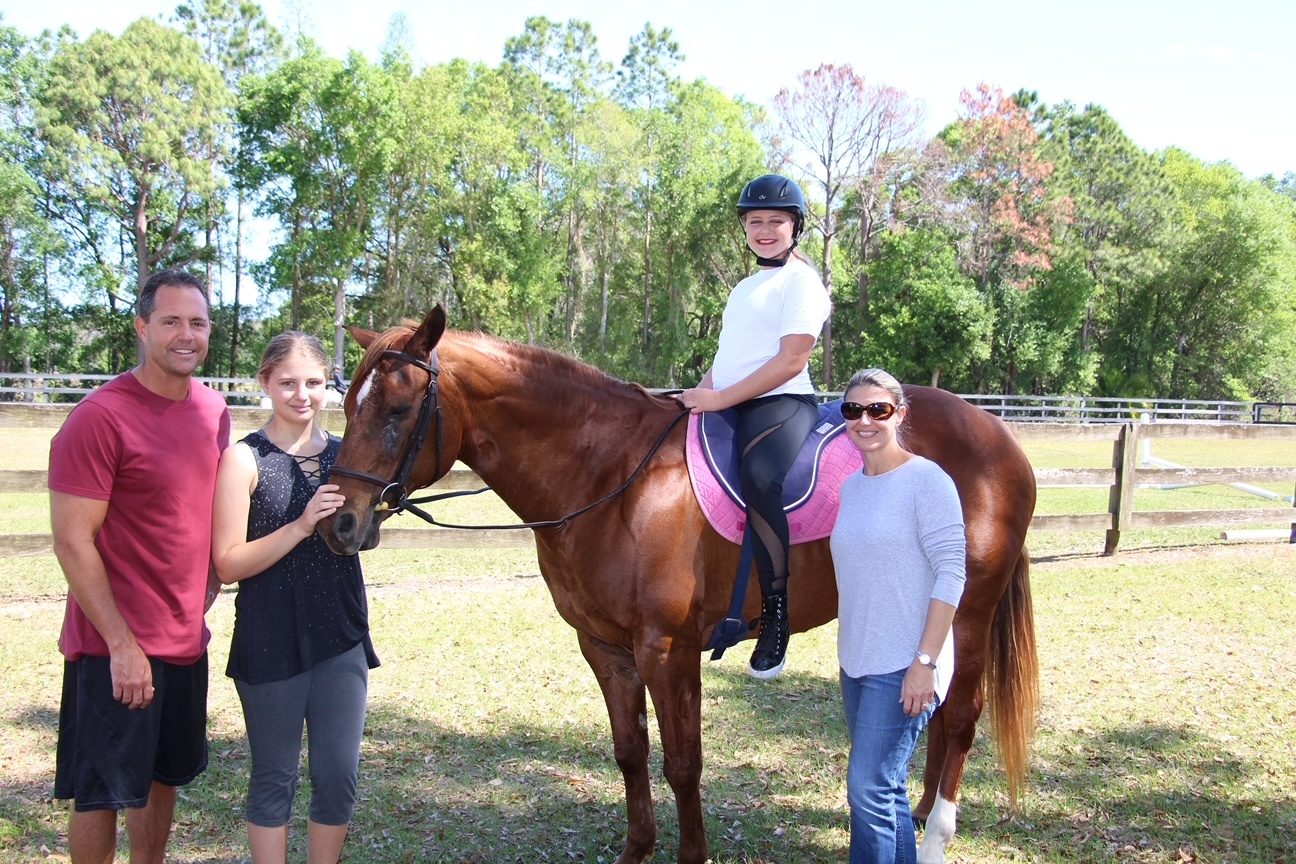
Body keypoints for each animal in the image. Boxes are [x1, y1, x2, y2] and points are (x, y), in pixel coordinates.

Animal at [319, 306, 1039, 864]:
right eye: (347, 405)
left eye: (399, 409)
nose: (339, 523)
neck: (611, 476)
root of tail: (996, 433)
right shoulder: (605, 648)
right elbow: (632, 752)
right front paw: (637, 848)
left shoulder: (668, 649)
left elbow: (683, 763)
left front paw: (691, 852)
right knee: (935, 712)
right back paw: (915, 814)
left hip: (968, 612)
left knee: (963, 716)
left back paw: (936, 835)